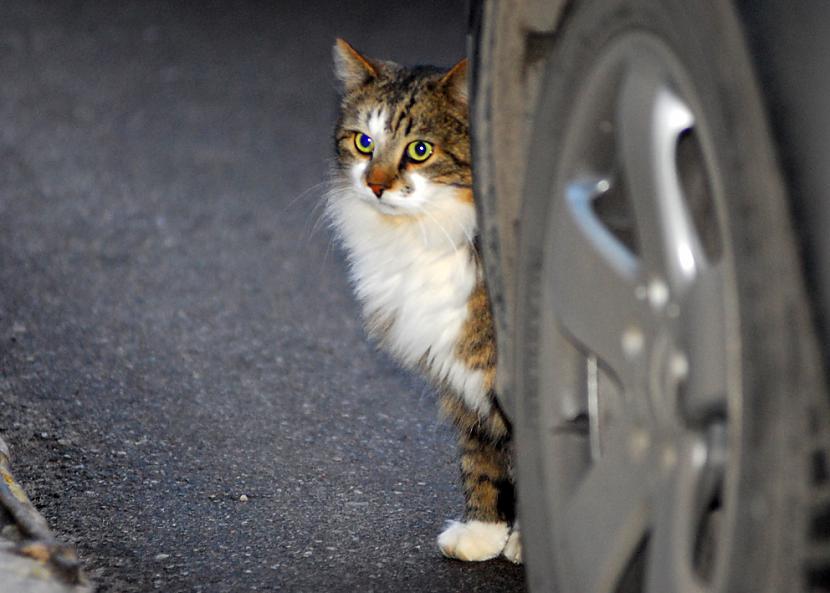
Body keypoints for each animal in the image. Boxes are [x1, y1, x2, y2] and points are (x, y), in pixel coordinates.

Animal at [328, 38, 524, 564]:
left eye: (420, 150)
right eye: (364, 142)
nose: (375, 185)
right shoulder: (464, 379)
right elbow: (481, 459)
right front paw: (484, 532)